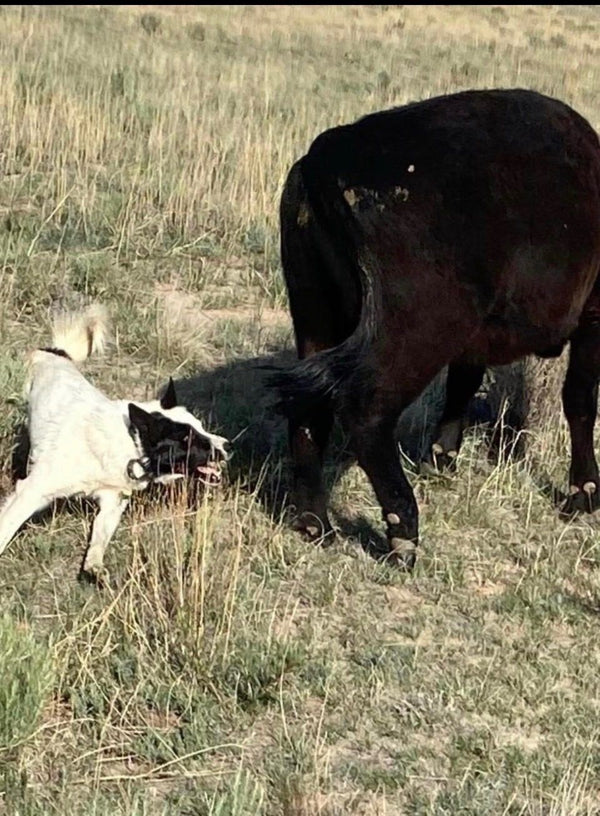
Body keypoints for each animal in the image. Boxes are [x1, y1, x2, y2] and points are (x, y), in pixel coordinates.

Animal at [271, 88, 600, 568]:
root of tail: (324, 156)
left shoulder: (476, 338)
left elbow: (463, 383)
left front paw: (440, 459)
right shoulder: (594, 315)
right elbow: (580, 400)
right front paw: (584, 494)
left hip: (315, 314)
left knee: (309, 410)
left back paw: (315, 522)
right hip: (416, 332)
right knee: (365, 411)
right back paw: (403, 531)